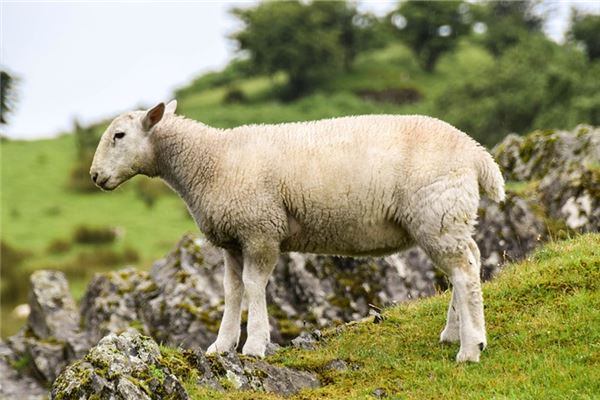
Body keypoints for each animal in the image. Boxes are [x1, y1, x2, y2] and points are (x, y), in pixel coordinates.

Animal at [89, 100, 504, 362]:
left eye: (119, 135)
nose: (94, 176)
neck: (210, 161)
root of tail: (477, 153)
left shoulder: (260, 229)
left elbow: (254, 286)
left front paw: (255, 344)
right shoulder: (232, 239)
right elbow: (231, 291)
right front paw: (221, 345)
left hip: (438, 212)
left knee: (464, 272)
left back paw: (470, 349)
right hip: (446, 218)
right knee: (467, 264)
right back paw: (454, 334)